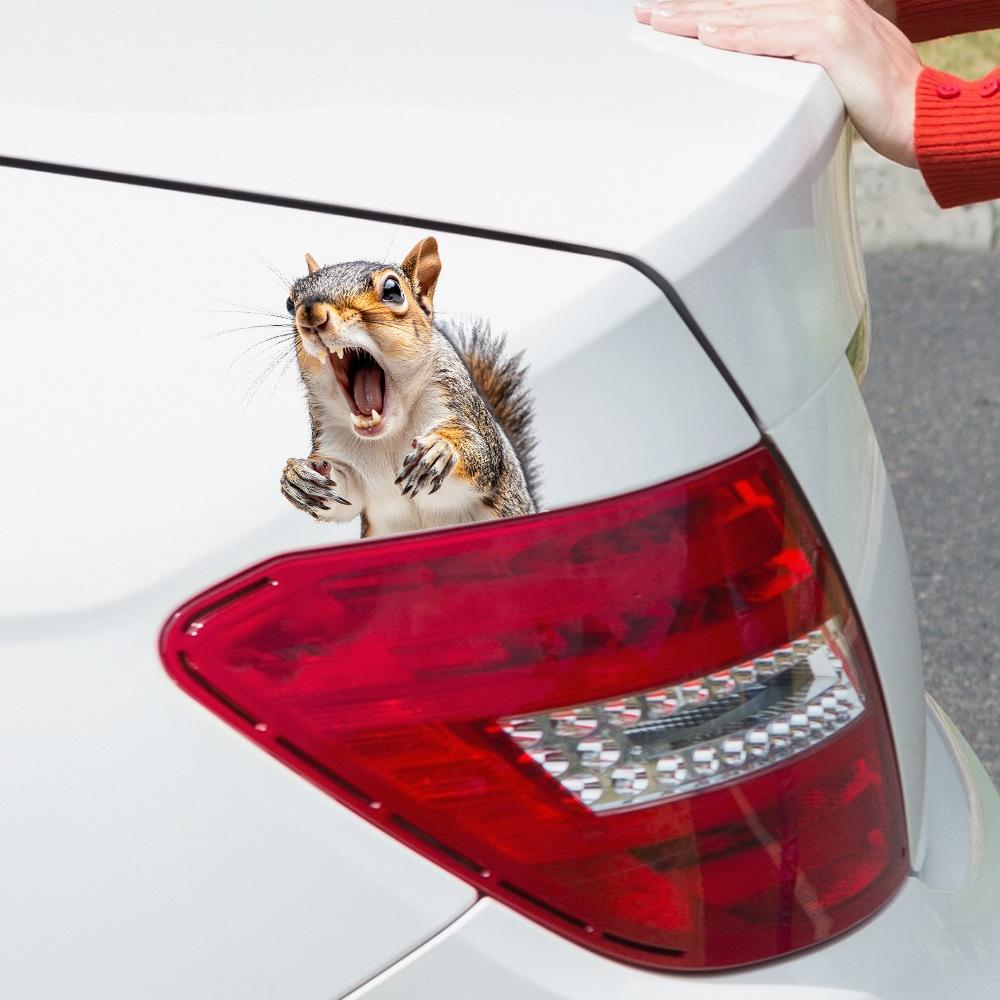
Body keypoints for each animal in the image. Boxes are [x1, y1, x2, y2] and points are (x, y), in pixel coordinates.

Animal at [279, 236, 539, 538]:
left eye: (393, 290)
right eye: (289, 302)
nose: (311, 315)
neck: (388, 434)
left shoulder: (454, 400)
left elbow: (483, 453)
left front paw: (440, 450)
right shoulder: (337, 447)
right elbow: (345, 494)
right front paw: (297, 476)